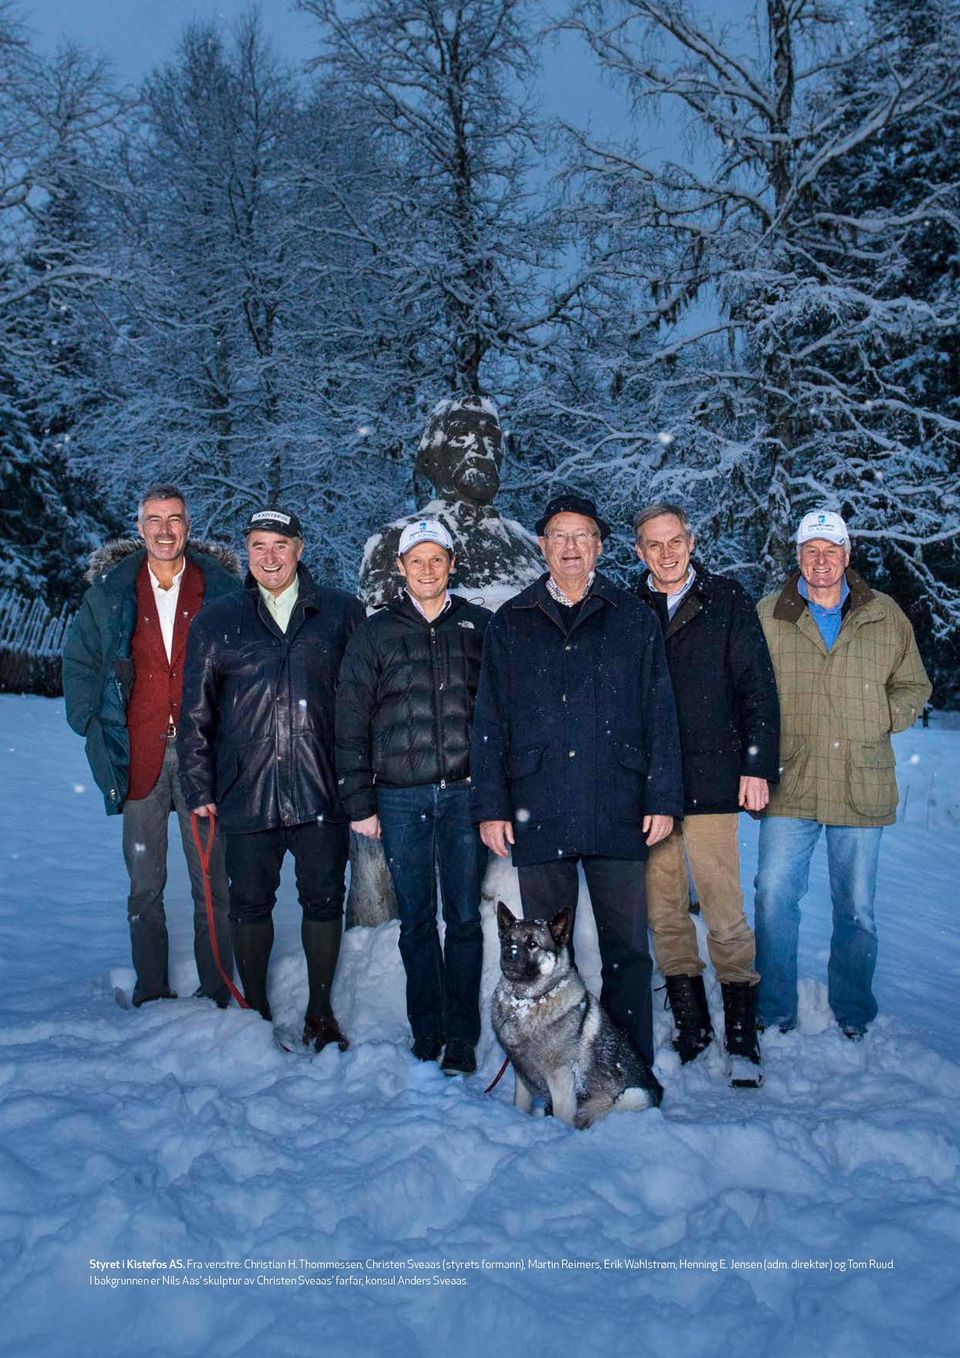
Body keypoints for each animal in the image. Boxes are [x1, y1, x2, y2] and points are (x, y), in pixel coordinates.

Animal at [491, 907, 665, 1129]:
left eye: (532, 944)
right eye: (507, 941)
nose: (508, 954)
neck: (525, 1004)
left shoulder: (562, 1079)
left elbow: (562, 1116)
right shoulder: (522, 1077)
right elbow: (520, 1105)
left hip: (632, 1097)